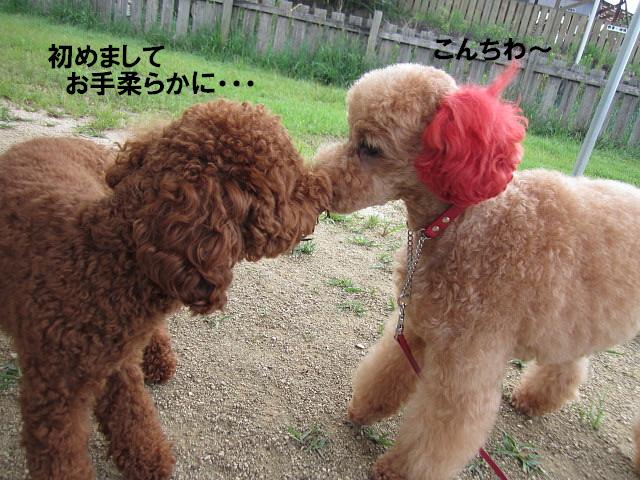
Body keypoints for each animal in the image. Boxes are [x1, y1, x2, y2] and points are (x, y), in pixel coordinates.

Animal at [0, 99, 331, 480]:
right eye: (291, 184)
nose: (325, 192)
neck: (102, 260)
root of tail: (43, 138)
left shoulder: (119, 367)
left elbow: (133, 417)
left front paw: (149, 460)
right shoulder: (55, 400)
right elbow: (66, 459)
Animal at [312, 63, 640, 479]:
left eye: (370, 147)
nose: (313, 181)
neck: (457, 222)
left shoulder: (465, 366)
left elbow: (437, 435)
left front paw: (398, 469)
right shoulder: (415, 327)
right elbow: (386, 371)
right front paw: (364, 409)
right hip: (575, 320)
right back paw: (536, 398)